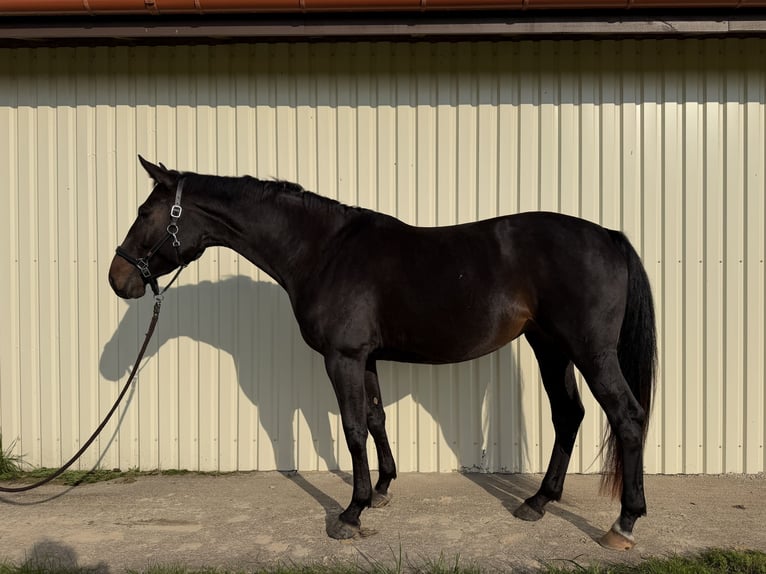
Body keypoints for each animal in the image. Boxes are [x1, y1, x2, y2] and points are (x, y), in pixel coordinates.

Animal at [109, 156, 657, 551]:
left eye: (144, 214)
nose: (119, 279)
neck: (322, 250)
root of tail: (609, 236)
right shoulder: (366, 358)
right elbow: (375, 419)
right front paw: (383, 490)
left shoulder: (342, 357)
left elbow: (352, 429)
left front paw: (351, 512)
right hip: (550, 347)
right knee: (569, 415)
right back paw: (539, 502)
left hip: (590, 352)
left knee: (627, 417)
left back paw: (624, 524)